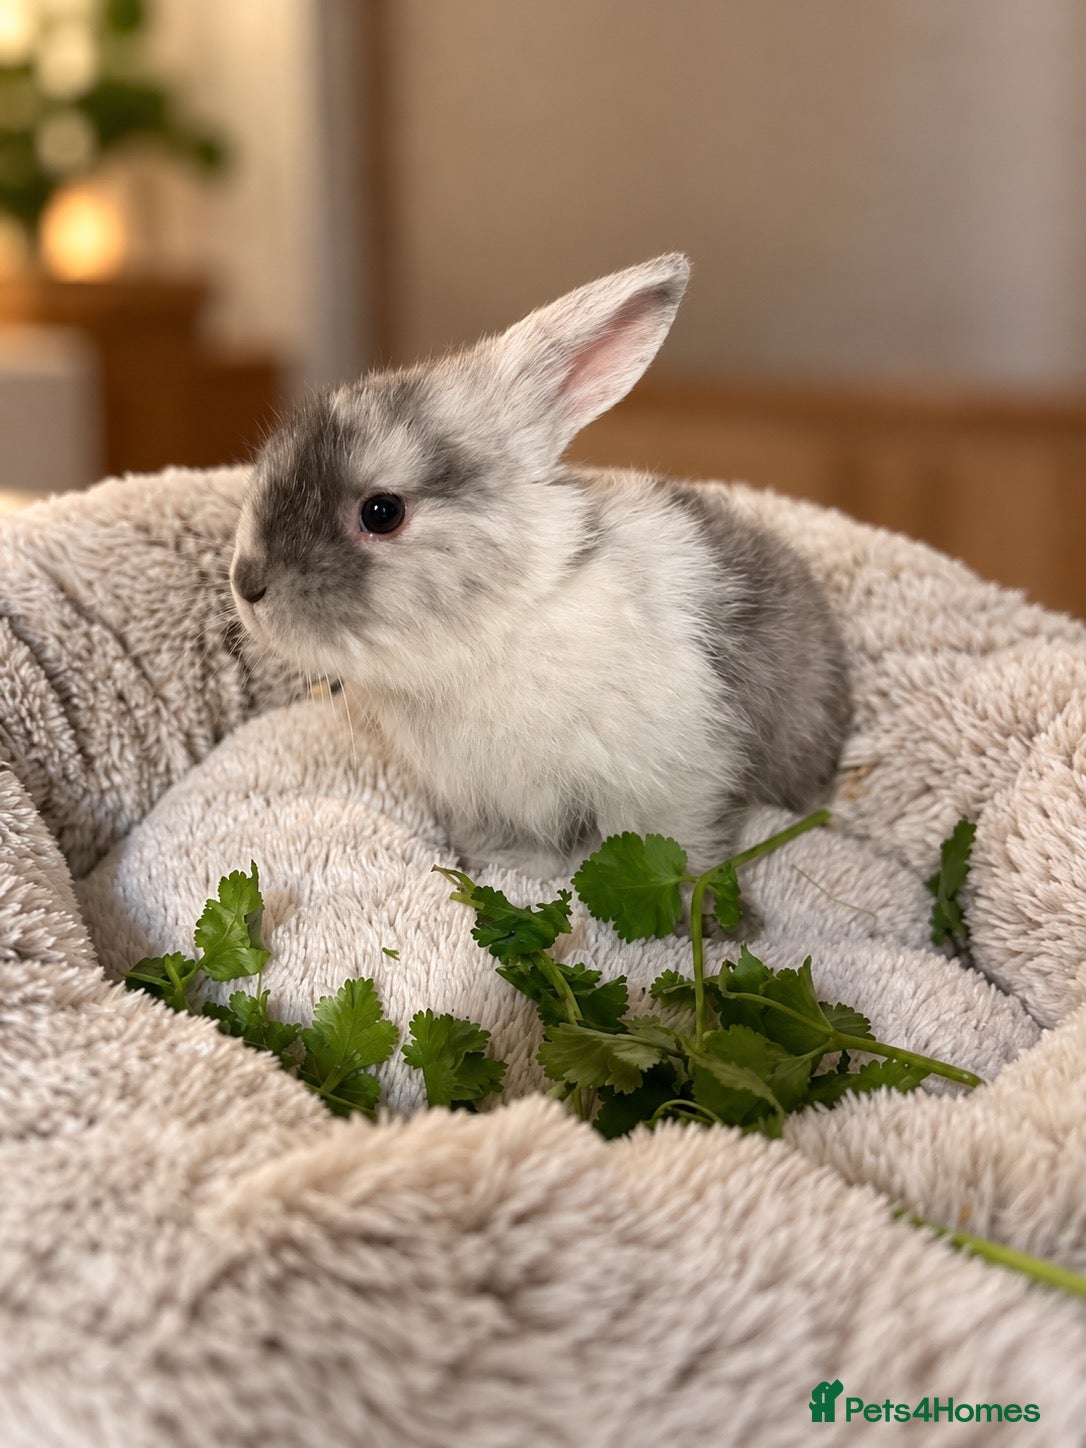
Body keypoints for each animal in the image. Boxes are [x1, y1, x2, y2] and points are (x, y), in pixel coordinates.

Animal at [230, 253, 850, 878]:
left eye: (382, 513)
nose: (246, 585)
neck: (505, 615)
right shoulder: (484, 798)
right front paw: (506, 870)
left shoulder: (678, 785)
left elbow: (675, 845)